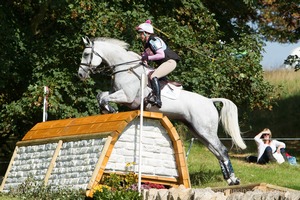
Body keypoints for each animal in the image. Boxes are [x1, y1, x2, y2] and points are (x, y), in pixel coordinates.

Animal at [78, 36, 246, 186]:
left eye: (86, 54)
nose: (80, 74)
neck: (125, 69)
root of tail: (209, 101)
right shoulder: (118, 93)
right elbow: (101, 95)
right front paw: (107, 109)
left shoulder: (127, 96)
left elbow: (104, 98)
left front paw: (110, 109)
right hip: (198, 131)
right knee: (216, 152)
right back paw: (229, 178)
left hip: (205, 130)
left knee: (222, 150)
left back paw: (233, 180)